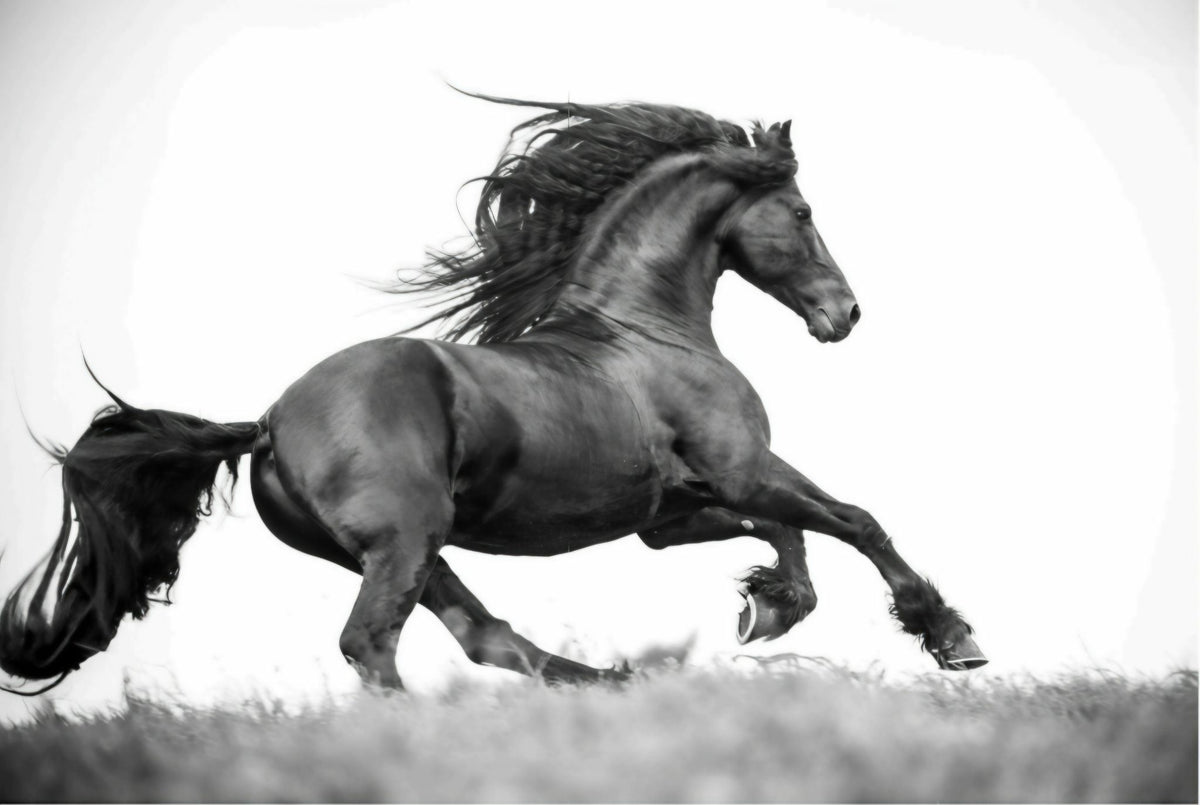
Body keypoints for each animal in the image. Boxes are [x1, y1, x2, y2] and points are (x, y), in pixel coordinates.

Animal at [0, 94, 986, 694]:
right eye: (806, 213)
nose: (845, 313)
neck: (646, 331)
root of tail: (270, 422)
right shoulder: (743, 469)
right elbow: (855, 520)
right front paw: (948, 634)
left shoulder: (672, 514)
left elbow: (790, 534)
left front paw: (767, 605)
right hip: (405, 540)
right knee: (375, 643)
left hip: (413, 547)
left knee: (487, 636)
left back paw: (614, 682)